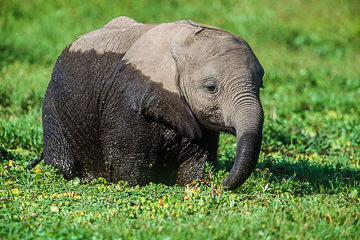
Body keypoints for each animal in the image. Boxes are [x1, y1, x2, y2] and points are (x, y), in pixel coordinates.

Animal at [40, 16, 264, 189]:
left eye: (261, 85)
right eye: (211, 87)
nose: (219, 182)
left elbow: (196, 163)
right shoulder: (125, 102)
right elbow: (127, 169)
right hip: (52, 100)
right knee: (62, 162)